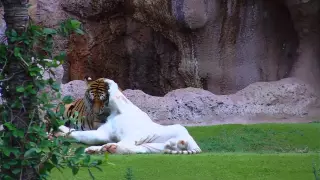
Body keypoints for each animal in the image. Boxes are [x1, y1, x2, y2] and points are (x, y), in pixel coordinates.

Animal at [57, 78, 202, 154]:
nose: (96, 112)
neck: (111, 112)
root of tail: (194, 144)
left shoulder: (124, 106)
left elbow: (116, 94)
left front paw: (106, 81)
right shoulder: (103, 133)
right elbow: (79, 133)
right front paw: (60, 132)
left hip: (142, 134)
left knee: (127, 143)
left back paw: (106, 148)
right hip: (152, 146)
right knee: (134, 148)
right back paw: (101, 149)